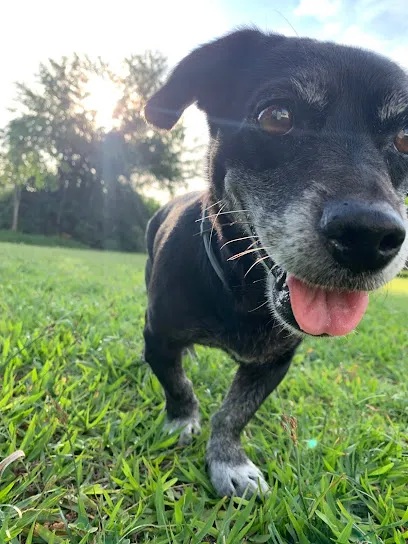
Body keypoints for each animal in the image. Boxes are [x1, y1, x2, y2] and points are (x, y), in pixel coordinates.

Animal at [143, 28, 408, 498]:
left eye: (406, 139)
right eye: (276, 116)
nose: (368, 236)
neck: (242, 292)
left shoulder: (274, 362)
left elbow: (234, 413)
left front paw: (228, 461)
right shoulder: (155, 336)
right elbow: (177, 384)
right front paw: (181, 423)